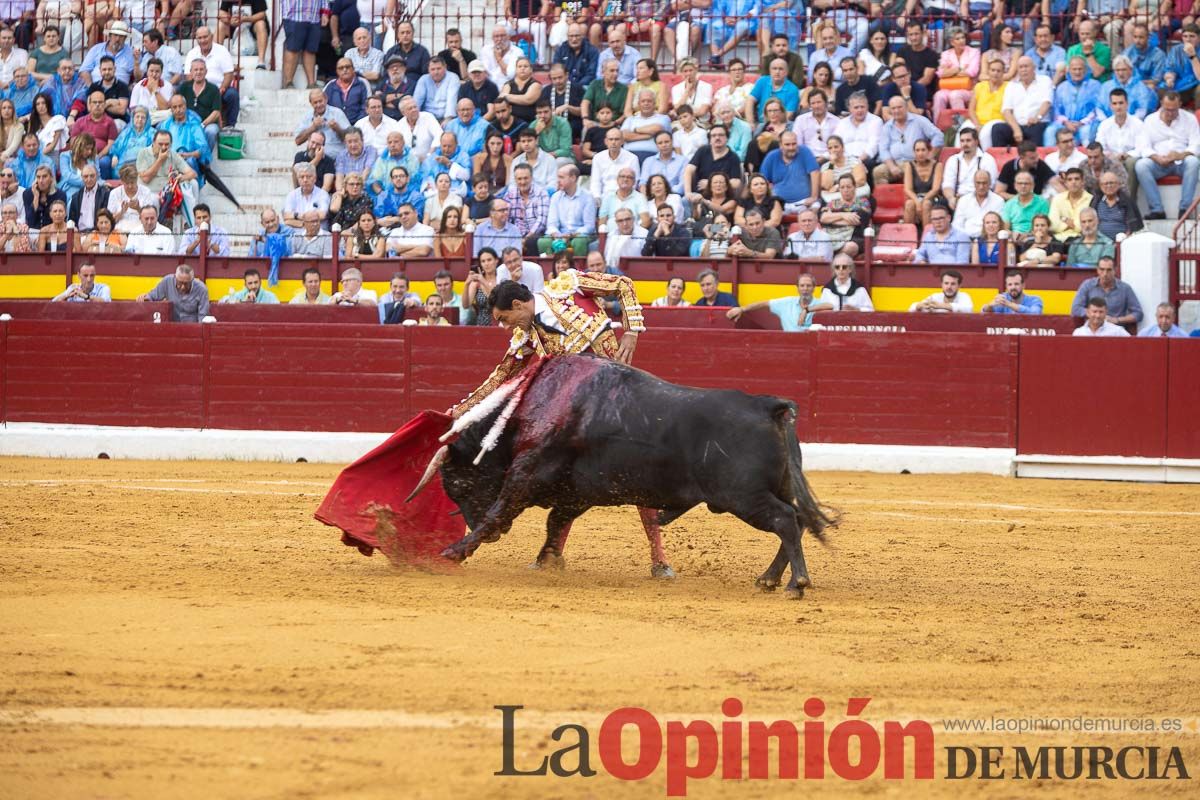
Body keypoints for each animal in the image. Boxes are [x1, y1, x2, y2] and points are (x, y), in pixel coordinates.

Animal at [412, 357, 835, 594]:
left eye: (458, 484)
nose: (465, 522)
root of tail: (767, 405)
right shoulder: (575, 492)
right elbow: (555, 523)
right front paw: (547, 561)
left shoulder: (526, 473)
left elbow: (500, 511)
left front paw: (454, 551)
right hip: (769, 489)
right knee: (796, 520)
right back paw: (769, 579)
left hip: (743, 496)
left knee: (785, 520)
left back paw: (795, 583)